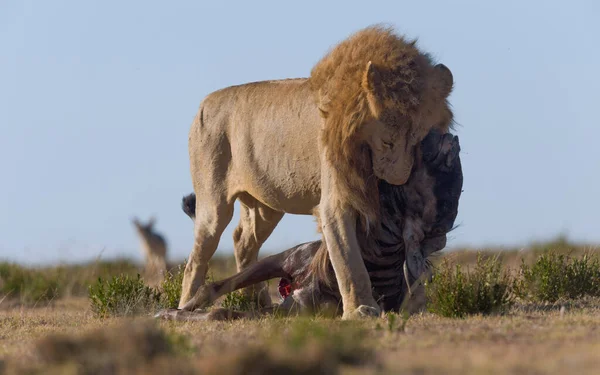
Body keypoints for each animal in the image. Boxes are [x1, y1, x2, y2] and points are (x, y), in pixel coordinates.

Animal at [180, 25, 452, 320]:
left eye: (419, 141)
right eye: (387, 141)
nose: (399, 179)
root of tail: (205, 103)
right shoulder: (336, 200)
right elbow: (349, 260)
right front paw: (360, 308)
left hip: (265, 205)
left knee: (243, 240)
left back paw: (257, 301)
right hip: (214, 202)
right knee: (199, 254)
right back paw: (186, 303)